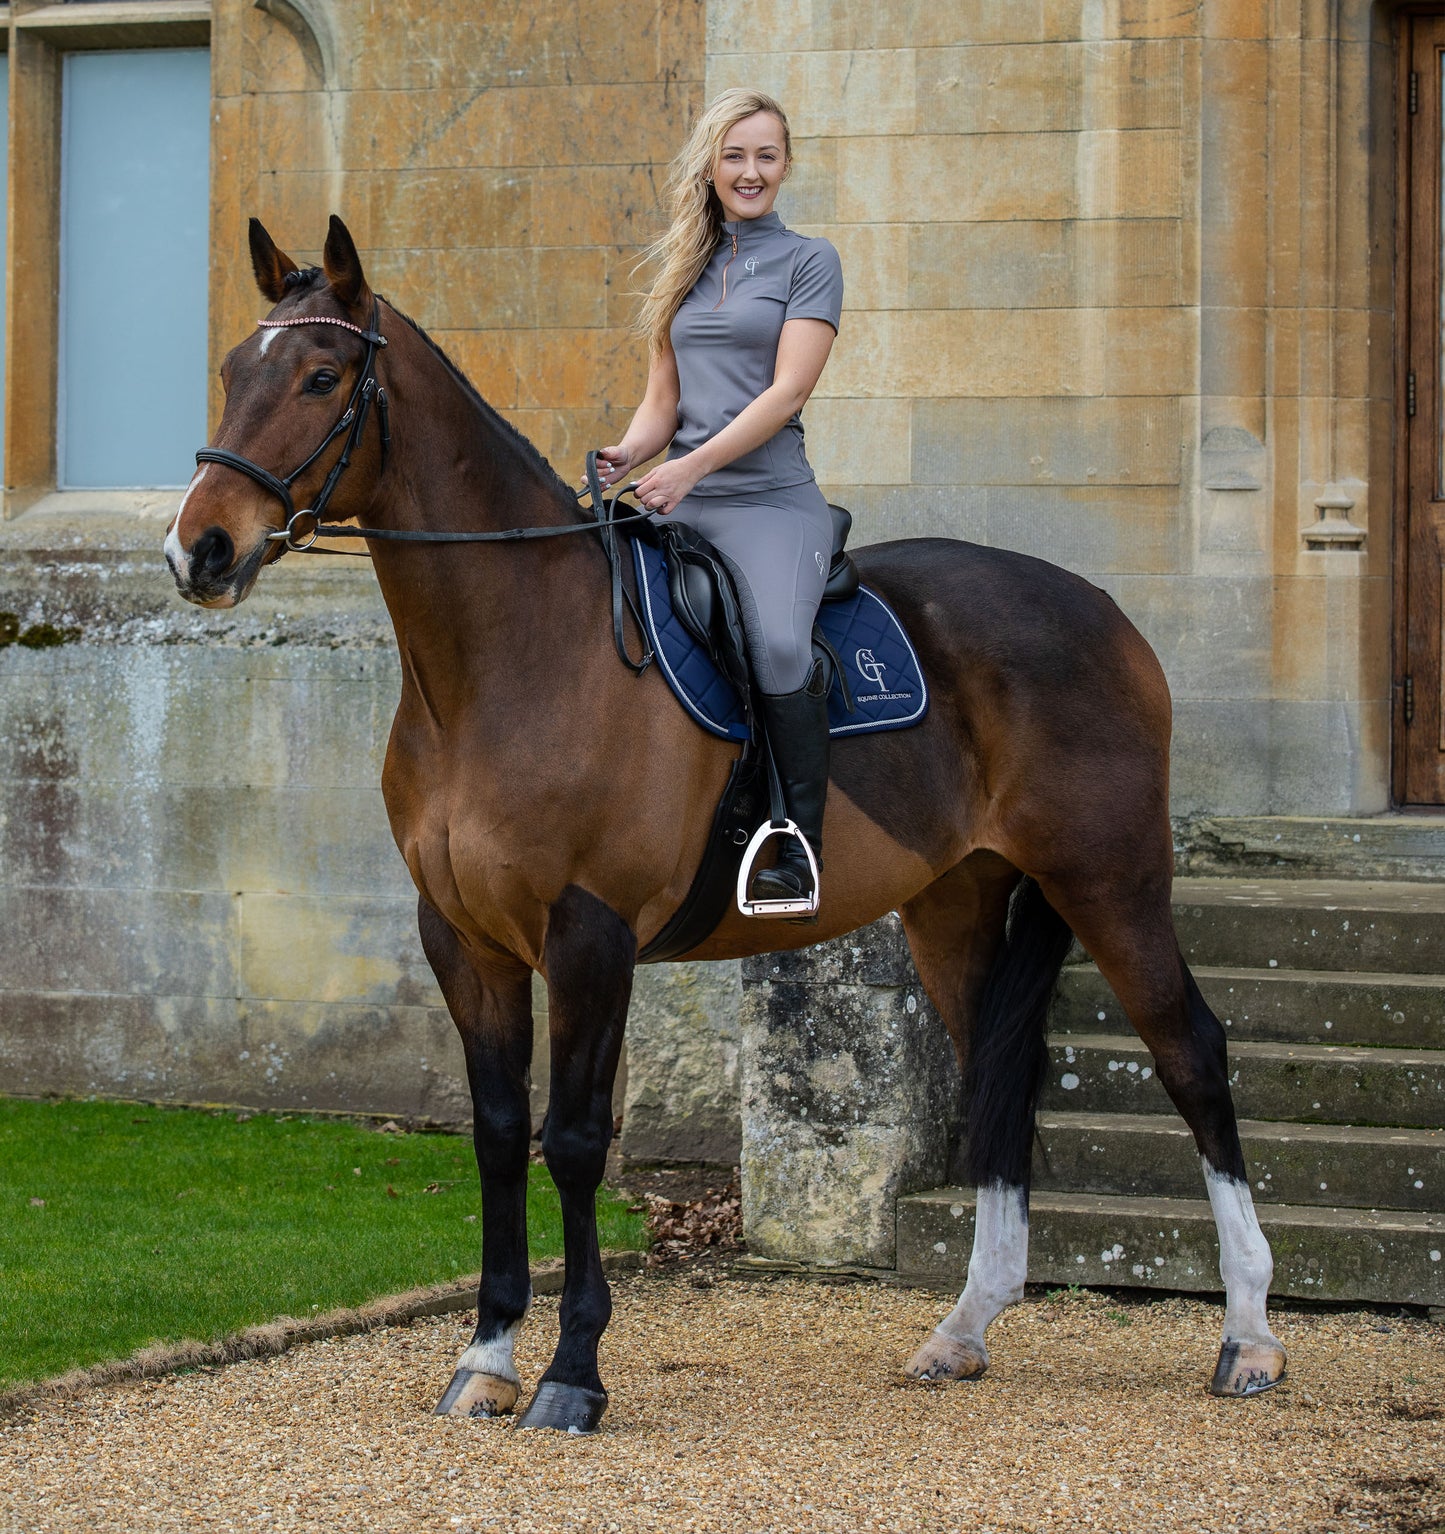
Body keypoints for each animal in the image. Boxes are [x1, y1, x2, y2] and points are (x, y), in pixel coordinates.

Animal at [164, 215, 1286, 1433]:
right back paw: (963, 1330)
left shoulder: (591, 932)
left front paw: (571, 1373)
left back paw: (1248, 1336)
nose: (199, 551)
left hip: (1110, 878)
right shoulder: (461, 938)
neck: (514, 657)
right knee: (999, 1075)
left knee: (1191, 1054)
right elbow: (499, 1135)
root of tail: (1102, 610)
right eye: (231, 371)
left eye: (321, 378)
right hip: (954, 904)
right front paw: (488, 1352)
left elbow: (572, 1141)